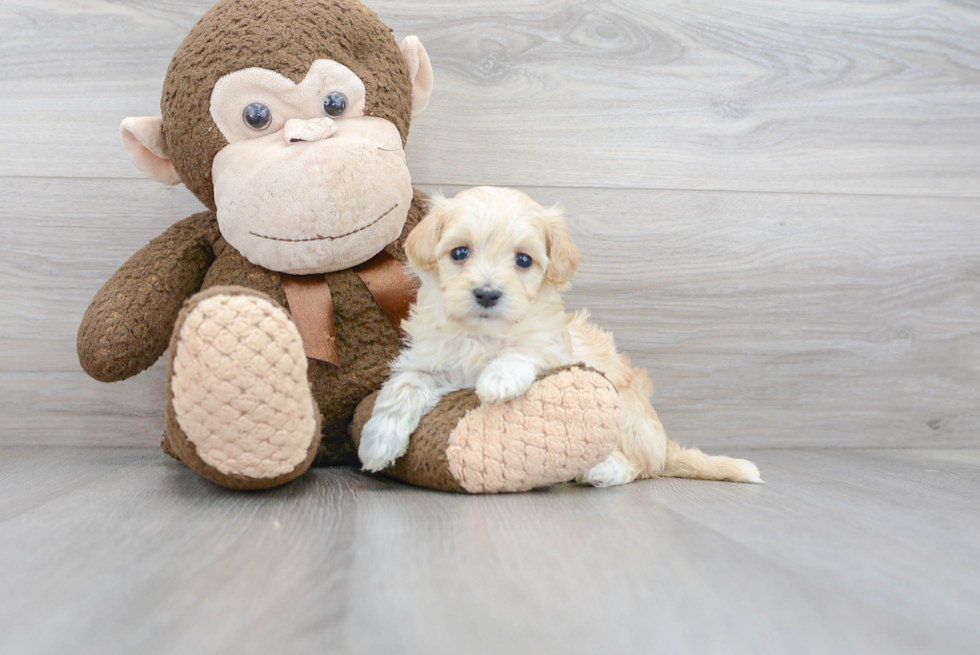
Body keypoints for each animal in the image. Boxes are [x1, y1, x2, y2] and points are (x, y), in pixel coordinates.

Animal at [356, 186, 760, 486]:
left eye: (523, 260)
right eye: (459, 253)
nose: (487, 294)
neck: (483, 335)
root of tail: (663, 445)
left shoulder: (554, 348)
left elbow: (526, 351)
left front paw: (498, 379)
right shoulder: (429, 361)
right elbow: (403, 387)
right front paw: (378, 442)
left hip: (626, 413)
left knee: (638, 466)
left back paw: (601, 470)